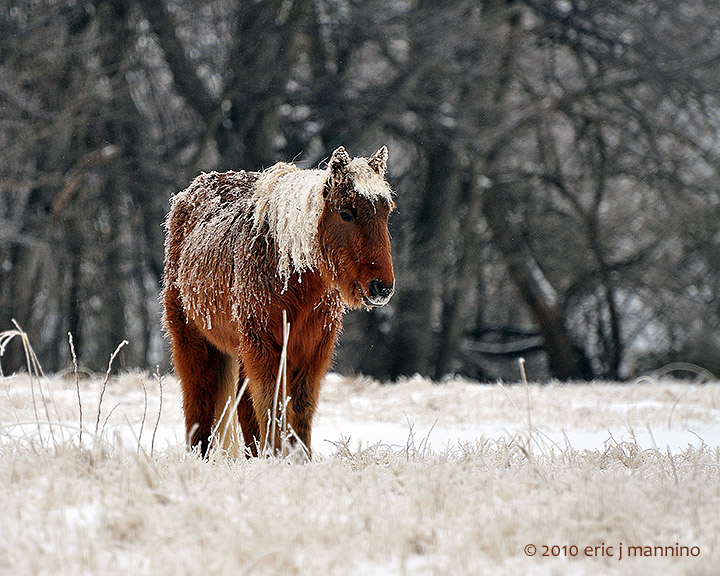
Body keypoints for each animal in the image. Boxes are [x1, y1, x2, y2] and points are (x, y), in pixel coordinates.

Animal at [162, 146, 395, 458]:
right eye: (346, 213)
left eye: (386, 211)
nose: (381, 287)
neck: (290, 275)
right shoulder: (264, 349)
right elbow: (272, 408)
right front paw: (278, 458)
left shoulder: (312, 351)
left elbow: (300, 410)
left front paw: (298, 459)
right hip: (193, 340)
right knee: (199, 406)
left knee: (245, 413)